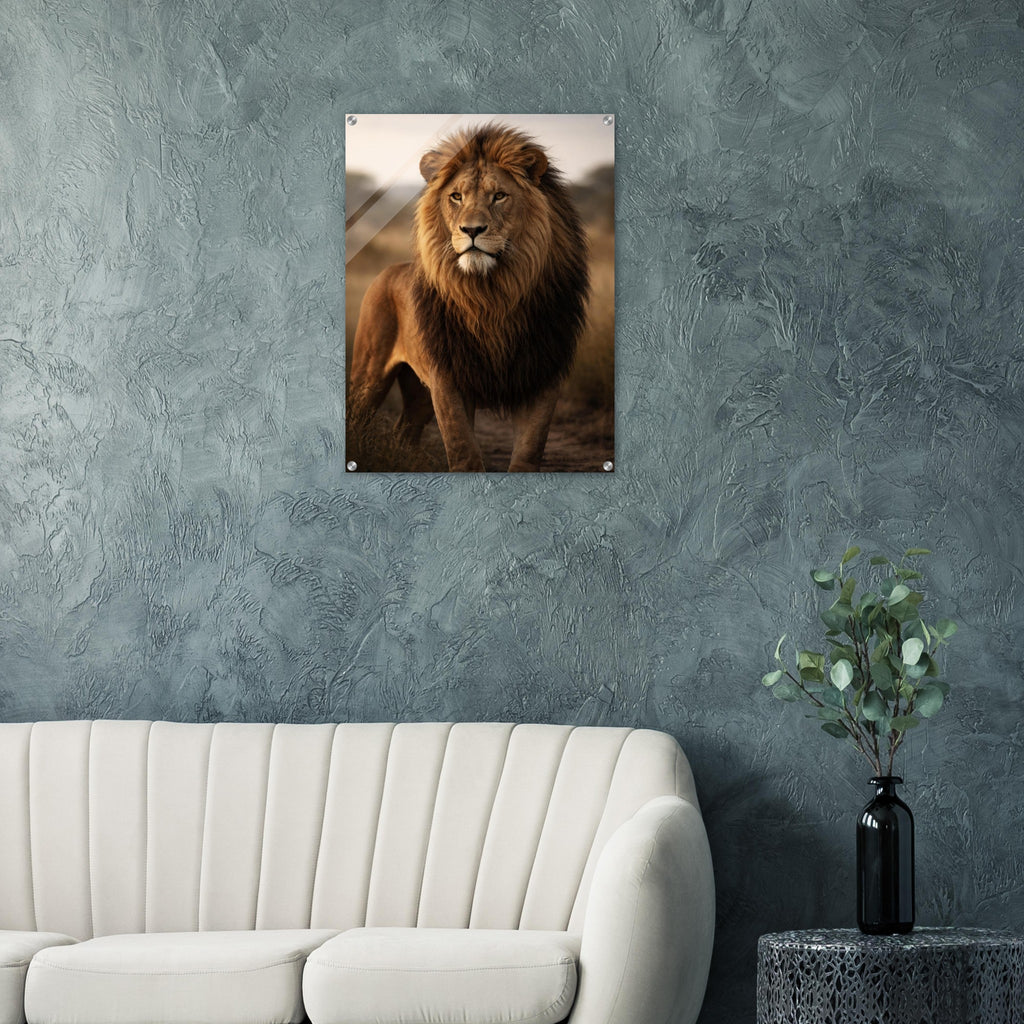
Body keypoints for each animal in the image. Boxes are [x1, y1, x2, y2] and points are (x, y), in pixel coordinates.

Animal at [347, 123, 590, 472]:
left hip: (419, 392)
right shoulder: (448, 378)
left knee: (404, 431)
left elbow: (529, 452)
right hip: (370, 374)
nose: (471, 230)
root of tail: (389, 270)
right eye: (456, 196)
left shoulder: (542, 375)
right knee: (357, 420)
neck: (492, 296)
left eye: (499, 196)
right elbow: (463, 450)